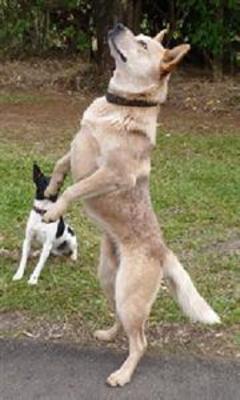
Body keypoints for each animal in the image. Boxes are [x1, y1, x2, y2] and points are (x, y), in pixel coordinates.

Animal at [42, 25, 219, 388]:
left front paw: (54, 209)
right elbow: (61, 163)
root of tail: (162, 251)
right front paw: (51, 188)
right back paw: (109, 334)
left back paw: (122, 374)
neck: (118, 108)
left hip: (128, 294)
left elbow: (76, 188)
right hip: (109, 282)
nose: (116, 26)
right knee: (124, 325)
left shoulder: (113, 174)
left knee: (141, 341)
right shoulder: (76, 149)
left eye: (141, 43)